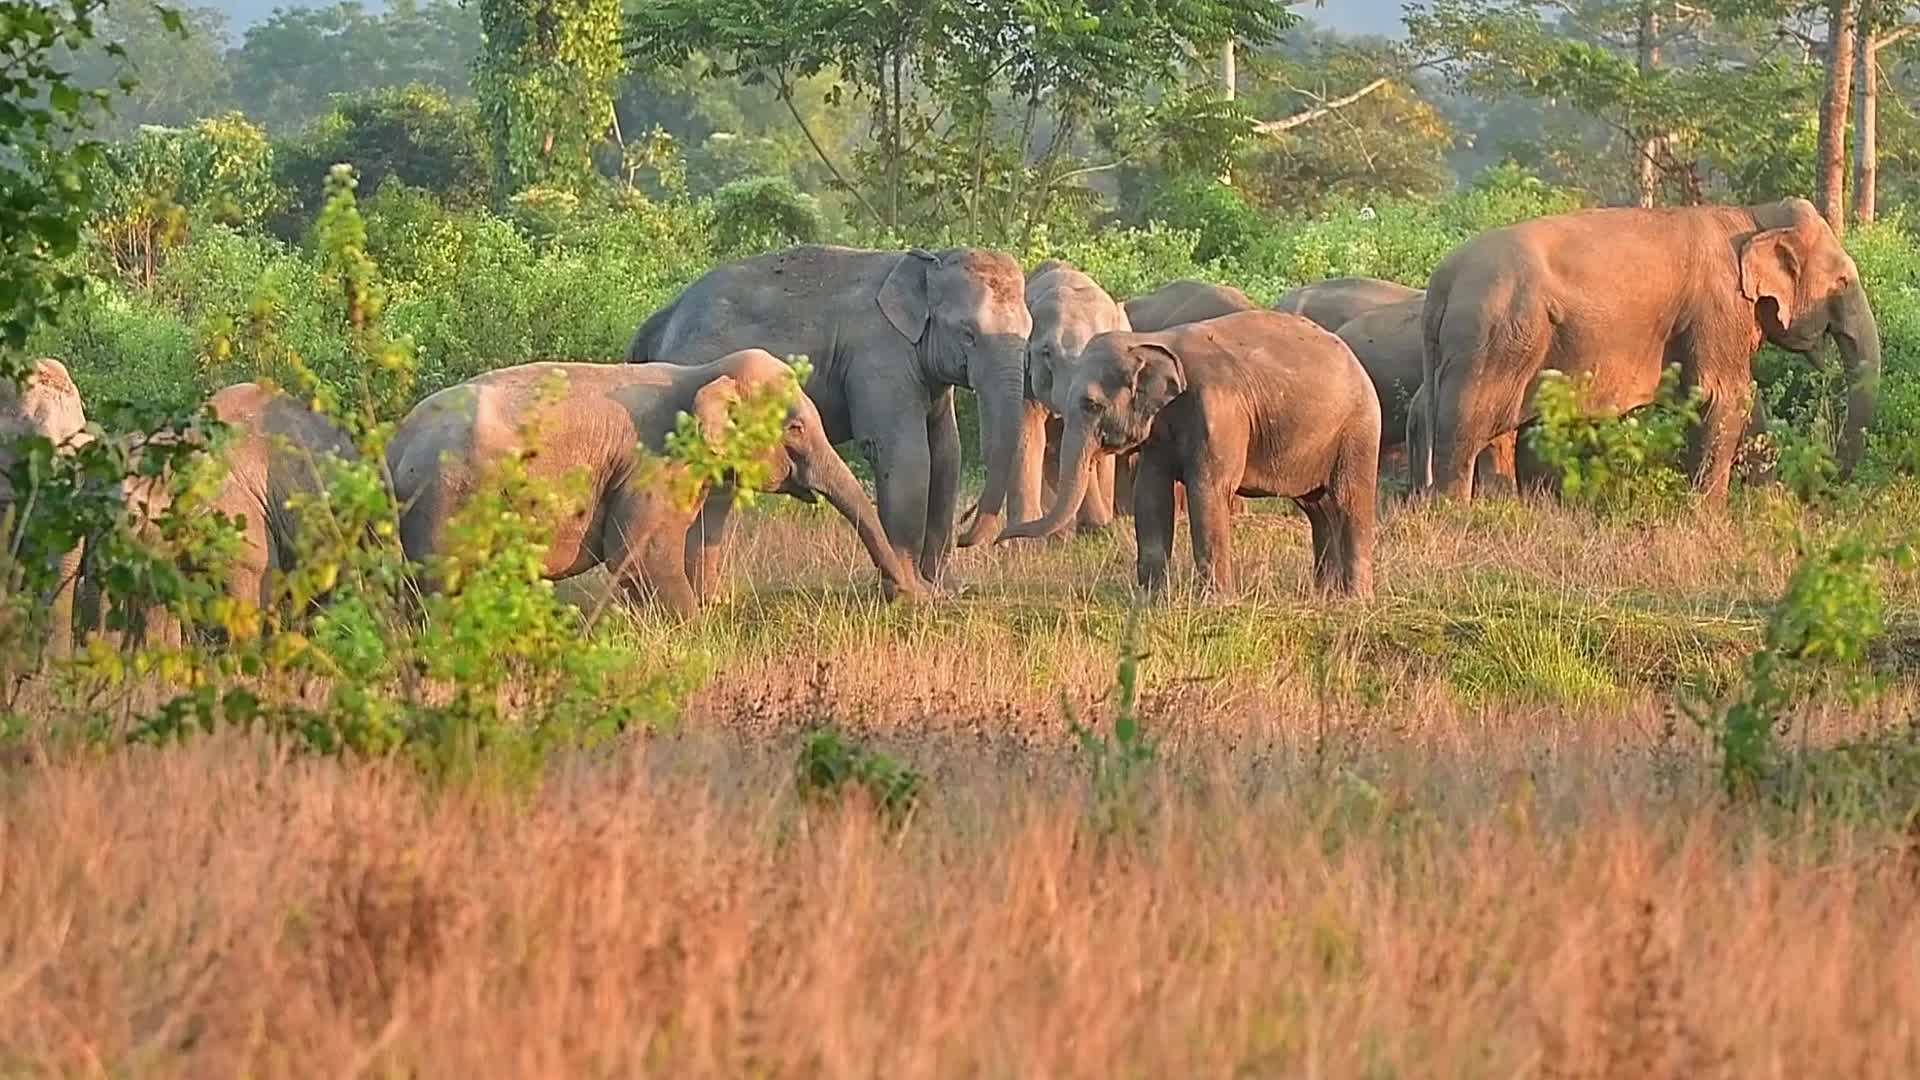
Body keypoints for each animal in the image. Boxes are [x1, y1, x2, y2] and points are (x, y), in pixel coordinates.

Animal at [388, 350, 925, 616]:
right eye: (794, 427)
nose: (907, 595)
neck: (701, 374)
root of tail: (394, 446)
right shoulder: (654, 463)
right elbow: (638, 553)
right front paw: (695, 629)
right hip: (447, 500)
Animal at [627, 246, 1033, 585]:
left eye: (1029, 333)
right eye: (968, 334)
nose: (965, 536)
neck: (927, 260)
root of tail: (659, 321)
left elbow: (947, 454)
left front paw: (942, 590)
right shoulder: (879, 355)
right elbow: (906, 455)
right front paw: (912, 586)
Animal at [1002, 311, 1381, 599]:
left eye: (1091, 405)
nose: (1000, 539)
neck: (1150, 341)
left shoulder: (1219, 413)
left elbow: (1207, 491)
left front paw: (1215, 602)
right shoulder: (1158, 432)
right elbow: (1151, 495)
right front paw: (1151, 598)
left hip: (1358, 430)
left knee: (1348, 501)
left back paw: (1355, 600)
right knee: (1318, 508)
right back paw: (1326, 596)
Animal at [1418, 198, 1880, 502]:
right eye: (1842, 282)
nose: (1824, 483)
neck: (1753, 214)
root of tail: (1441, 283)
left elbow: (1747, 406)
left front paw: (1767, 503)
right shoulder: (1718, 307)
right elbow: (1722, 397)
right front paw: (1707, 515)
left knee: (1496, 426)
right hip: (1496, 335)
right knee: (1467, 423)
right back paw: (1454, 515)